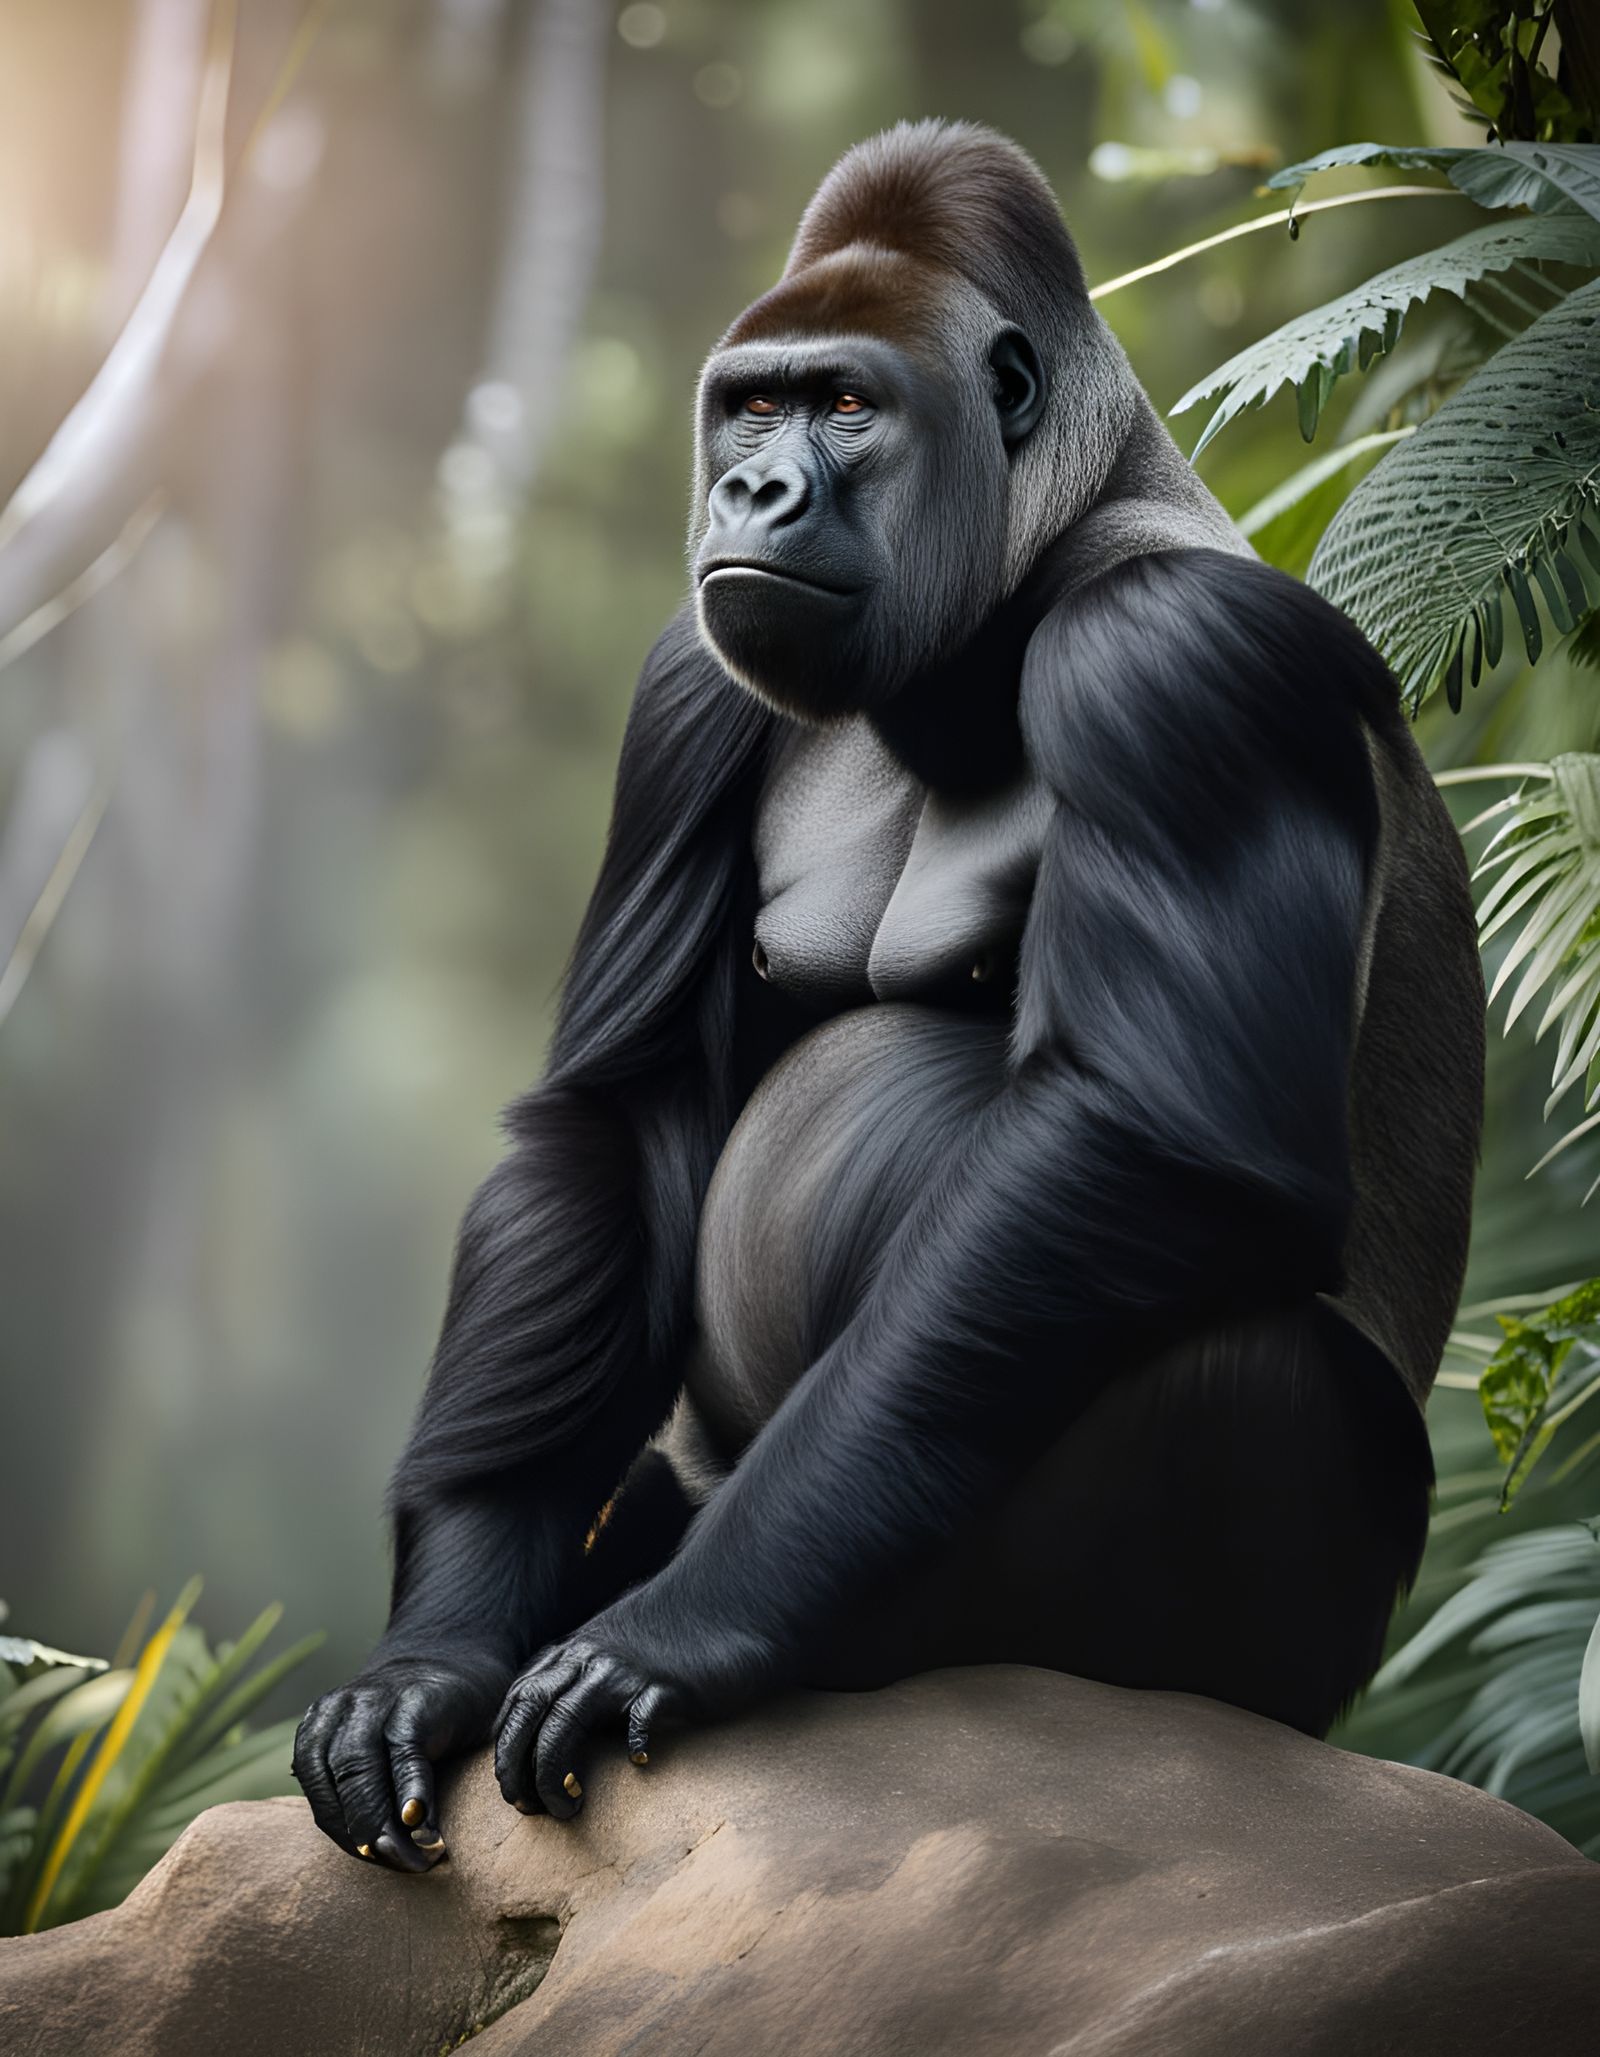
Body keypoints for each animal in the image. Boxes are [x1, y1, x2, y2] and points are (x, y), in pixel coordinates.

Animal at [294, 121, 1483, 1871]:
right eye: (751, 405)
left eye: (849, 404)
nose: (751, 489)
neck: (1040, 555)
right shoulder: (687, 677)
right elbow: (611, 1118)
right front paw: (436, 1647)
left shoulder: (1181, 657)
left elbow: (1159, 1145)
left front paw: (688, 1624)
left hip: (1287, 1660)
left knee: (1246, 1374)